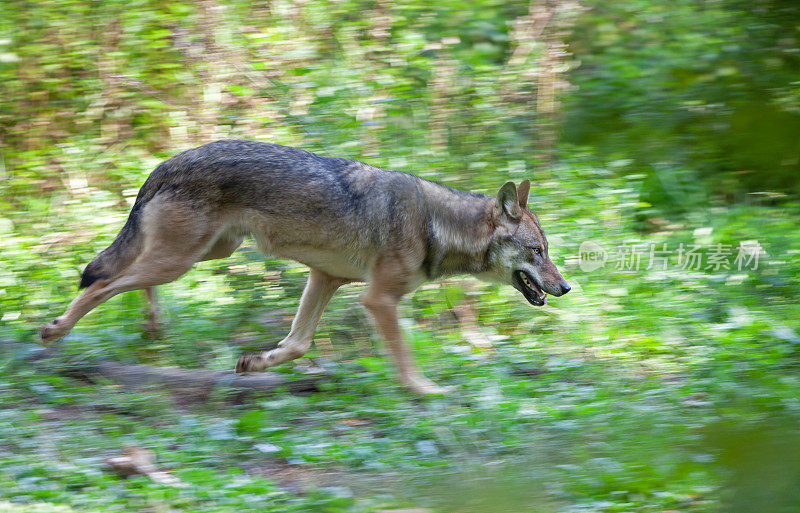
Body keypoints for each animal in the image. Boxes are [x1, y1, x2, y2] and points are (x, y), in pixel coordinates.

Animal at [40, 139, 572, 392]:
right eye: (538, 252)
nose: (566, 287)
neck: (435, 223)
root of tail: (168, 161)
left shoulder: (326, 278)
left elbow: (296, 345)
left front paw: (253, 364)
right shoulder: (378, 299)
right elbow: (403, 359)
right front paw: (425, 392)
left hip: (201, 254)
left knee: (121, 279)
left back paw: (153, 327)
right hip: (179, 260)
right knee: (102, 284)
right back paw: (56, 331)